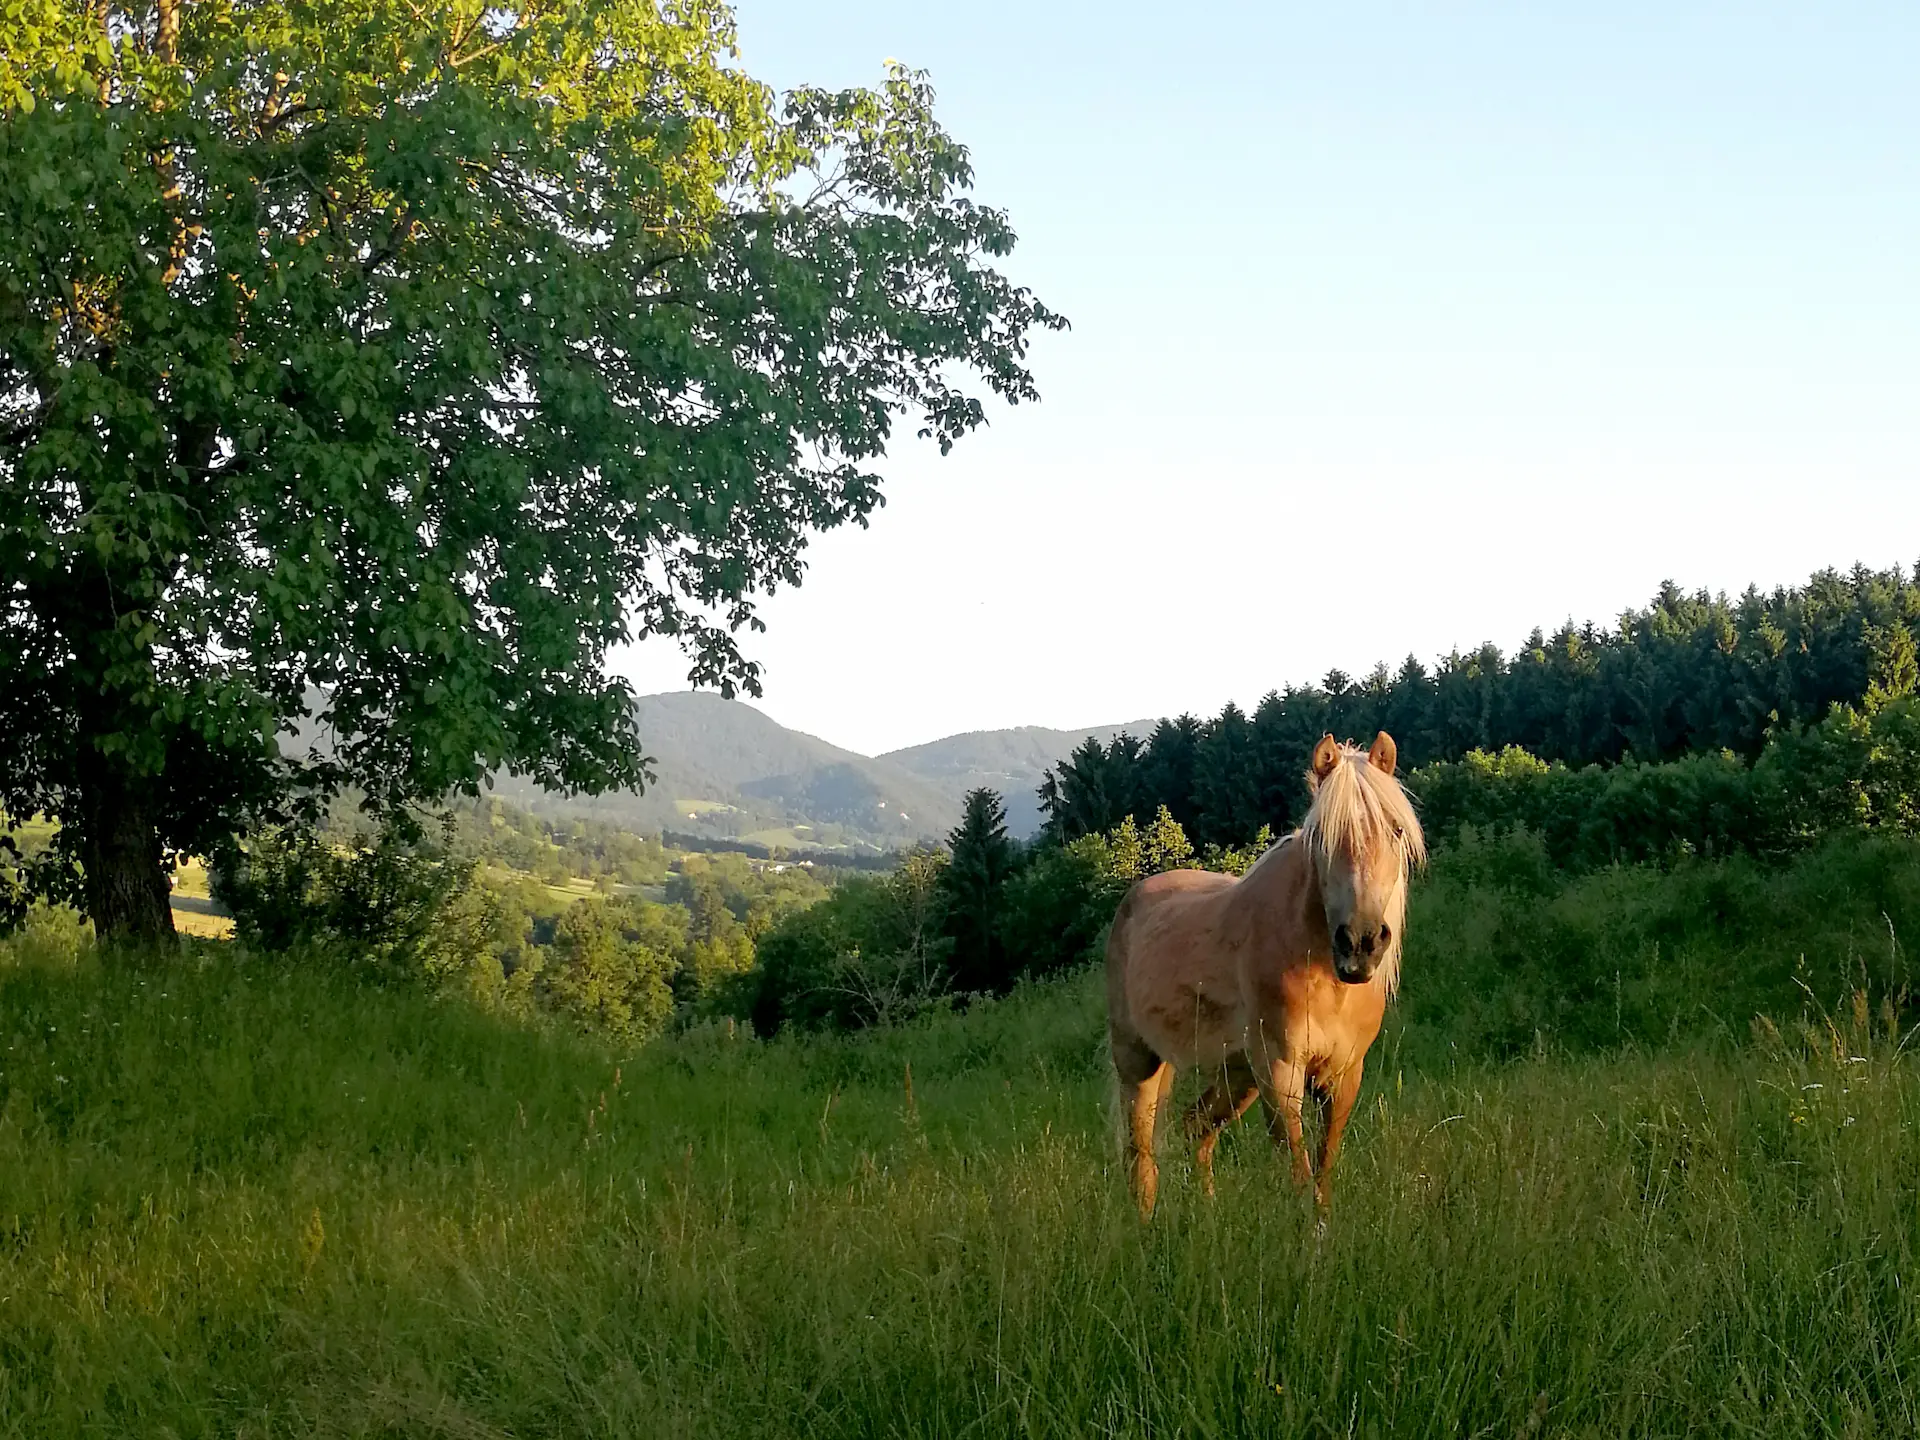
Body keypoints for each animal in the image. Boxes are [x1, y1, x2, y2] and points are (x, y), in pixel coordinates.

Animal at [1105, 732, 1425, 1218]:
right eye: (1321, 837)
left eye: (1396, 829)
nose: (1361, 942)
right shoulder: (1279, 1074)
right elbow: (1299, 1174)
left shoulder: (1343, 1077)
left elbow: (1323, 1172)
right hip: (1138, 1061)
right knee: (1139, 1155)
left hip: (1236, 1075)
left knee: (1195, 1129)